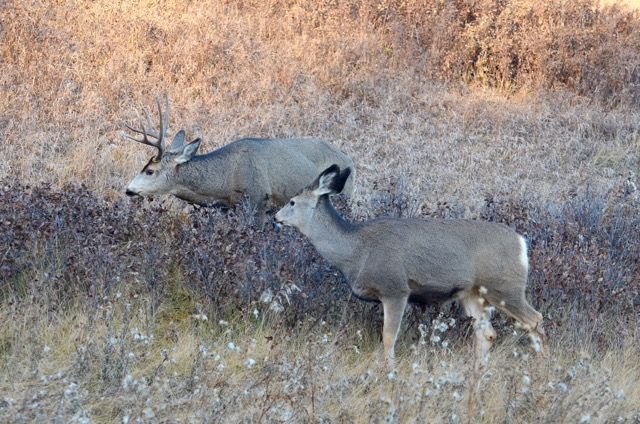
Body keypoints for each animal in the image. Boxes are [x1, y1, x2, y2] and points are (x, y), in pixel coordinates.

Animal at [123, 94, 356, 227]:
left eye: (150, 170)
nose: (128, 190)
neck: (227, 178)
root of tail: (349, 159)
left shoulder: (258, 200)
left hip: (345, 195)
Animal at [275, 165, 546, 365]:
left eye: (292, 201)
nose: (275, 217)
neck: (357, 251)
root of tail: (521, 243)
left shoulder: (395, 289)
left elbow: (388, 337)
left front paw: (389, 370)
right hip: (472, 294)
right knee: (488, 333)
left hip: (505, 286)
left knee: (534, 319)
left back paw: (542, 364)